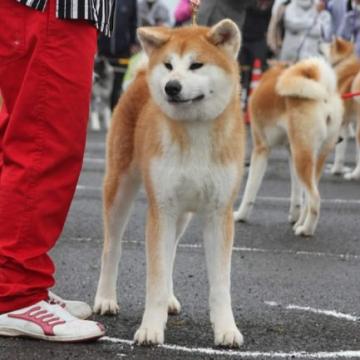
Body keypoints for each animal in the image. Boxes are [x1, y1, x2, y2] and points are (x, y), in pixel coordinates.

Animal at [93, 20, 246, 348]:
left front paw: (226, 329)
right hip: (120, 188)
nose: (171, 86)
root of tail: (140, 76)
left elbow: (220, 285)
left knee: (172, 250)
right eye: (168, 65)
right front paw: (151, 328)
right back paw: (105, 298)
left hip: (182, 213)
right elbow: (156, 277)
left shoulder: (219, 214)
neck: (195, 132)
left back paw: (171, 299)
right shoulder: (161, 208)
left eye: (196, 64)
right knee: (112, 246)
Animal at [233, 58, 344, 238]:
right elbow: (297, 193)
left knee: (315, 199)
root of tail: (324, 93)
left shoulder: (261, 149)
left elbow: (250, 189)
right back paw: (300, 223)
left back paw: (306, 230)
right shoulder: (291, 153)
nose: (341, 139)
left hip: (303, 157)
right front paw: (295, 216)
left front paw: (241, 216)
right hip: (310, 157)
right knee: (309, 196)